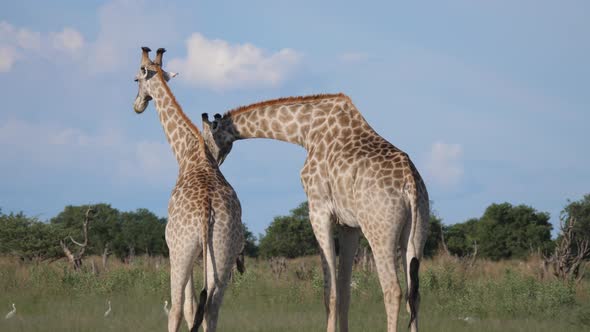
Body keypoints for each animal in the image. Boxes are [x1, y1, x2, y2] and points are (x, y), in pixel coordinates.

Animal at [133, 46, 244, 332]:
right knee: (212, 310)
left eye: (135, 79)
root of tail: (207, 211)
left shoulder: (176, 248)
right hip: (223, 252)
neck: (187, 153)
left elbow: (185, 307)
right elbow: (197, 308)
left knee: (176, 308)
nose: (137, 105)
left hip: (181, 251)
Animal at [204, 93, 430, 332]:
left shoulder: (318, 210)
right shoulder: (350, 226)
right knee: (414, 295)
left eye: (207, 138)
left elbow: (329, 292)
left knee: (393, 290)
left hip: (379, 230)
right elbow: (344, 291)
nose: (211, 162)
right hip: (417, 231)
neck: (306, 131)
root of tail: (410, 183)